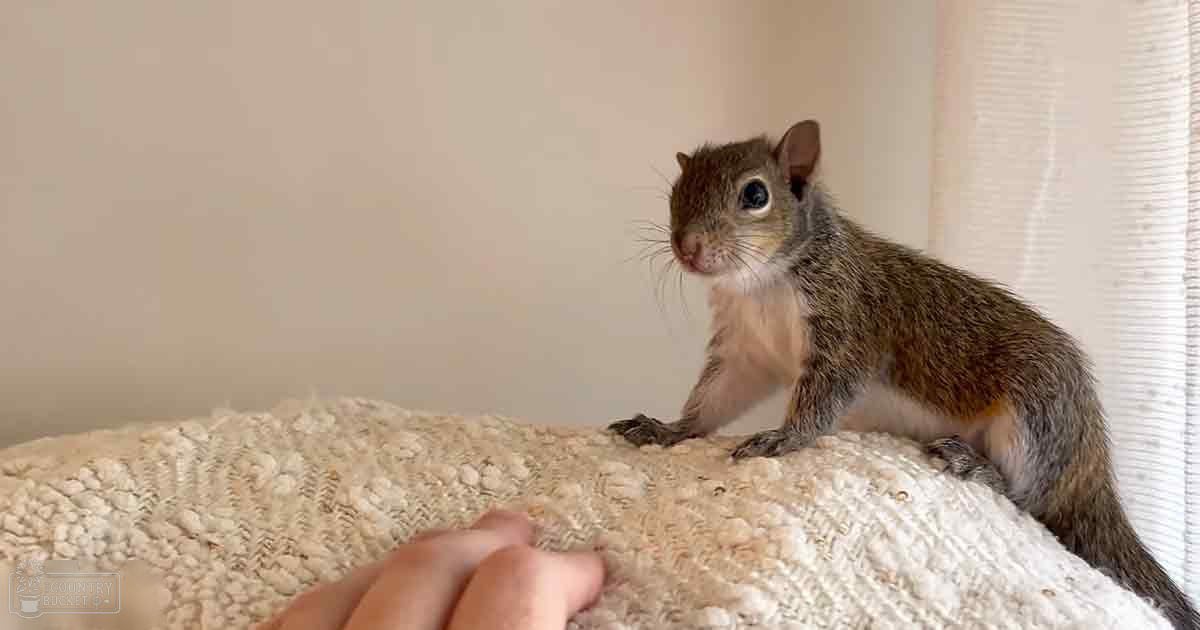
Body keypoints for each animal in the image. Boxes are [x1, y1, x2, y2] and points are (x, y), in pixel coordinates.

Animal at [608, 120, 1199, 629]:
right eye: (675, 192)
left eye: (755, 195)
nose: (687, 248)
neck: (764, 284)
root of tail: (1090, 461)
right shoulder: (745, 351)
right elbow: (716, 398)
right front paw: (669, 429)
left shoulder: (848, 326)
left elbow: (825, 395)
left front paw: (784, 437)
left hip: (1035, 409)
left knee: (1029, 498)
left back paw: (976, 467)